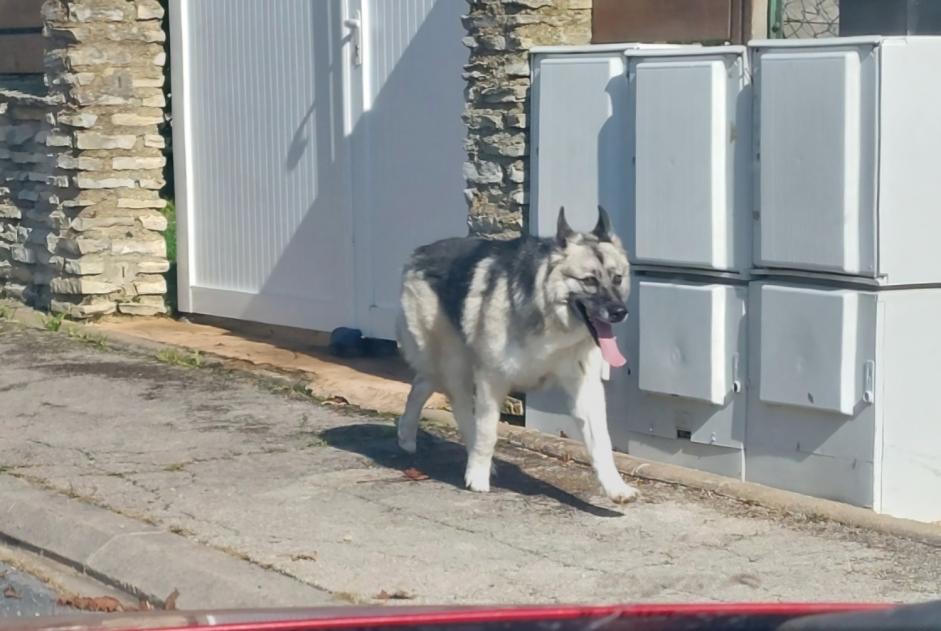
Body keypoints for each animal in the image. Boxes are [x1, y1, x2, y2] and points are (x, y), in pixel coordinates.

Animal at [392, 206, 636, 504]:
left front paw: (615, 487)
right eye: (589, 280)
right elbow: (487, 432)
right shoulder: (492, 381)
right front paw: (478, 475)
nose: (619, 312)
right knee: (460, 408)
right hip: (455, 364)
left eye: (617, 278)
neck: (548, 316)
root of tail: (421, 253)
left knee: (421, 384)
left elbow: (601, 442)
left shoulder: (586, 388)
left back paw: (406, 434)